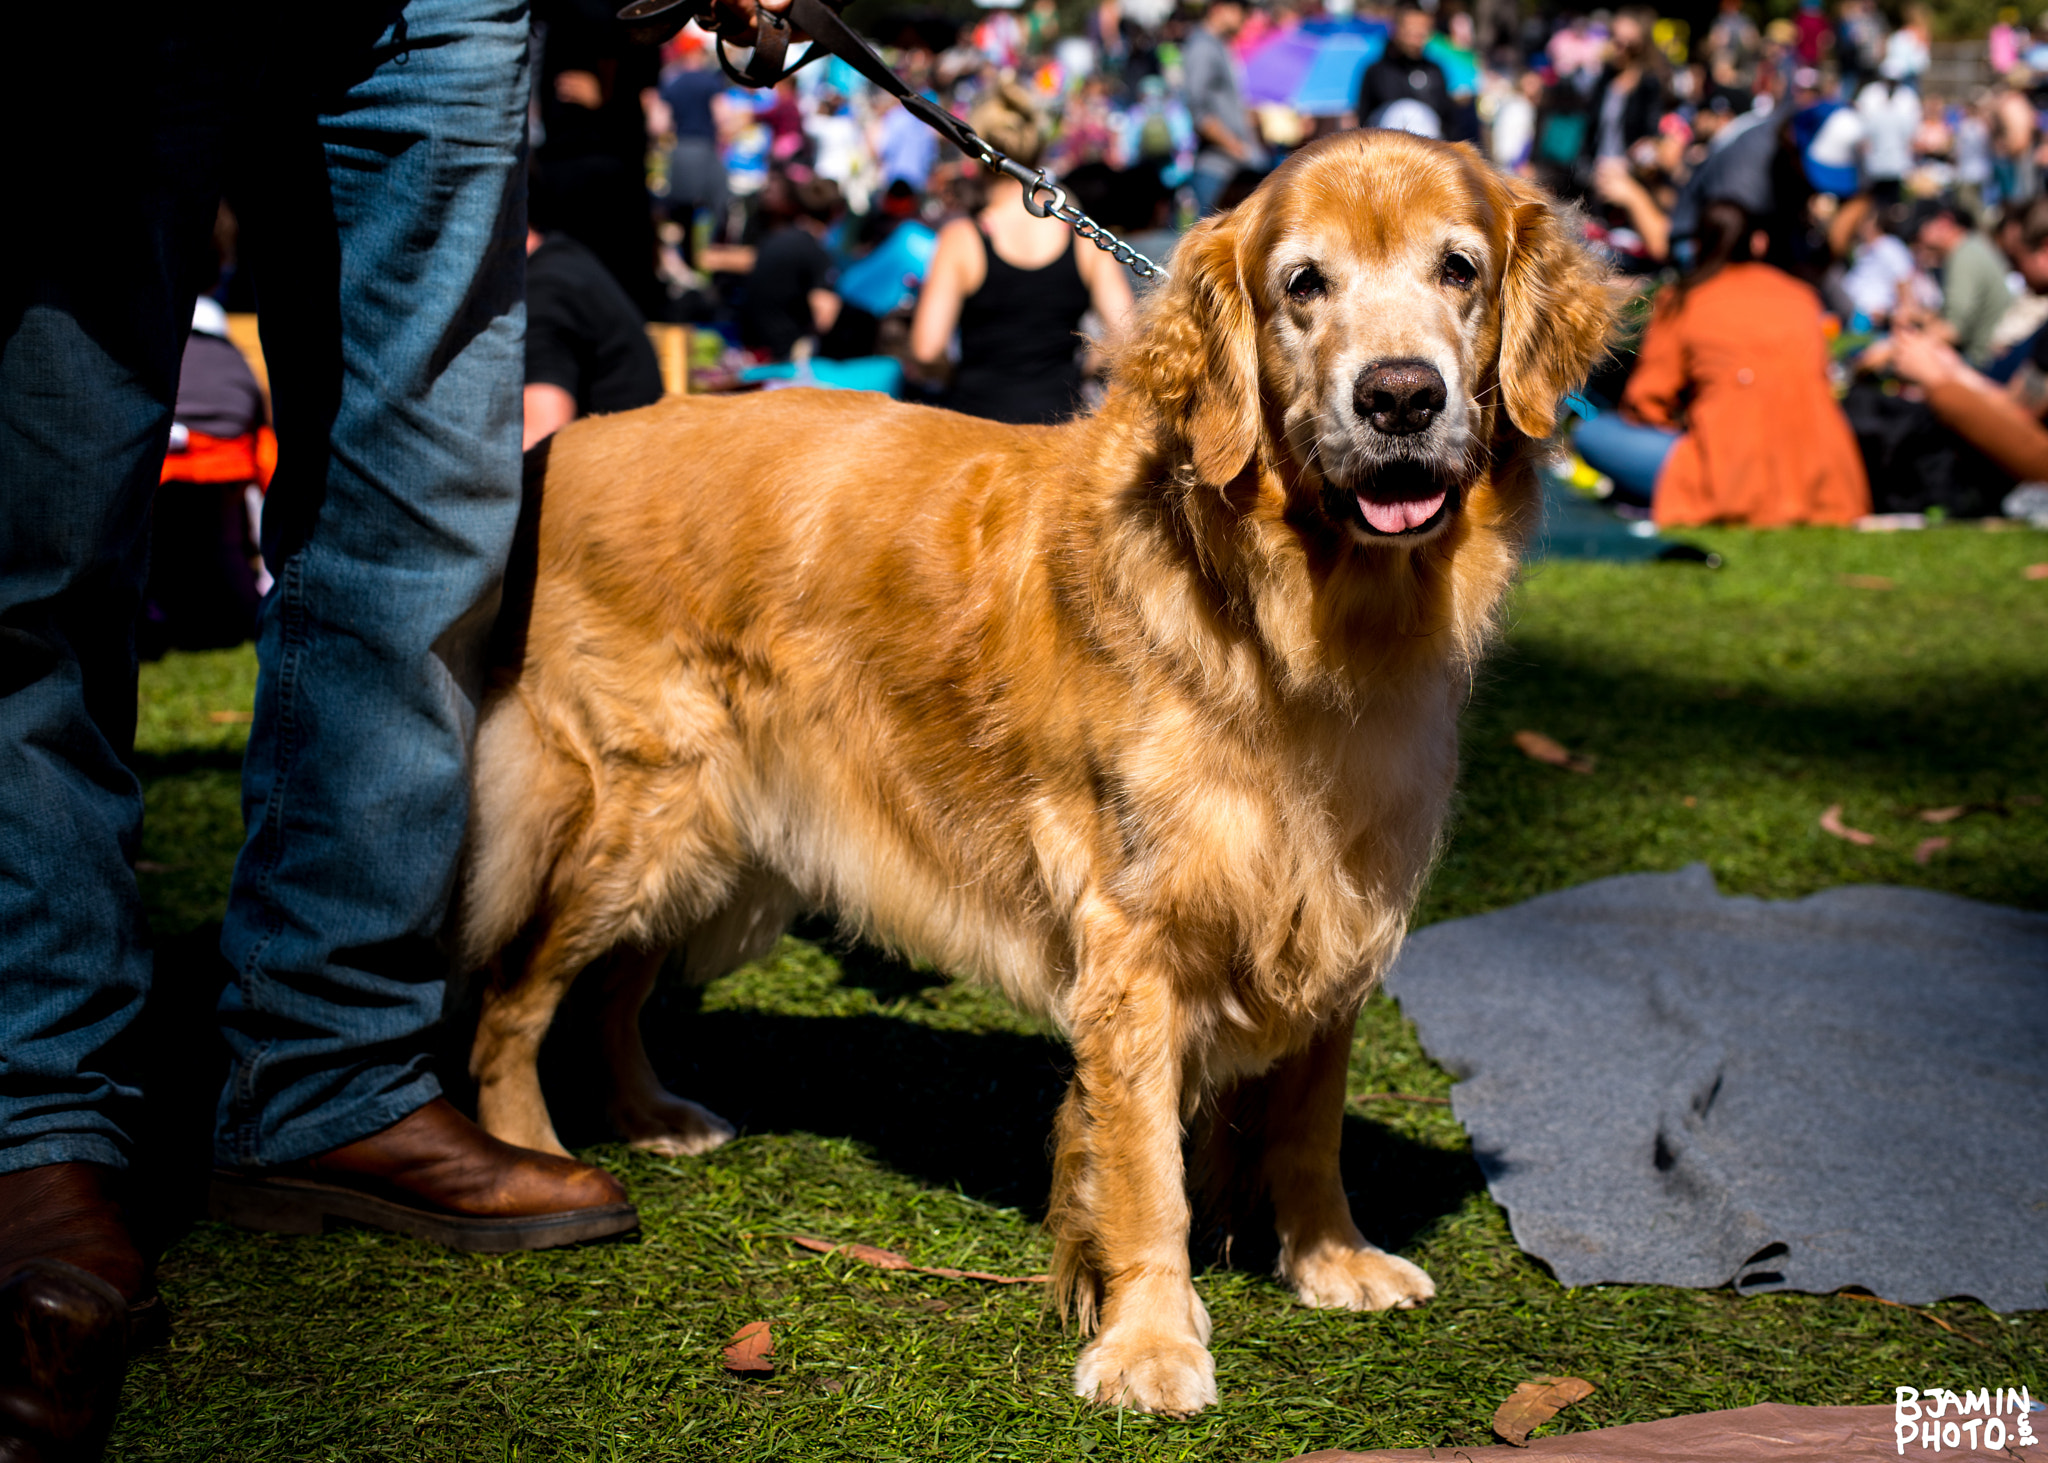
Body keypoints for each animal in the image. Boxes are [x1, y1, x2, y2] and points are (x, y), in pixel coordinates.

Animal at [460, 128, 1613, 1409]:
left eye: (1458, 269)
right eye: (1302, 285)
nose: (1400, 396)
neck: (1290, 618)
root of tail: (561, 441)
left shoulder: (1336, 906)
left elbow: (1308, 1116)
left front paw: (1325, 1257)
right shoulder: (1134, 932)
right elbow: (1144, 1164)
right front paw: (1151, 1337)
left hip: (715, 836)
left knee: (612, 986)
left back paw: (648, 1112)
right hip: (635, 812)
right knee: (514, 997)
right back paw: (529, 1151)